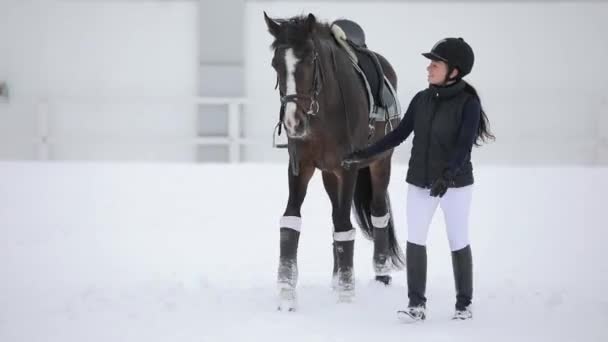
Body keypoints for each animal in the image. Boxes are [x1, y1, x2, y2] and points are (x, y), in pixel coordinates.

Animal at [264, 12, 404, 310]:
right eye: (276, 64)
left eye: (309, 60)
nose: (293, 123)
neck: (324, 113)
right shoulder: (300, 167)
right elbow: (291, 221)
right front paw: (286, 293)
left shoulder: (347, 167)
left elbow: (343, 227)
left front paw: (346, 294)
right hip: (329, 175)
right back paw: (336, 277)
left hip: (380, 163)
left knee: (378, 213)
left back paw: (381, 276)